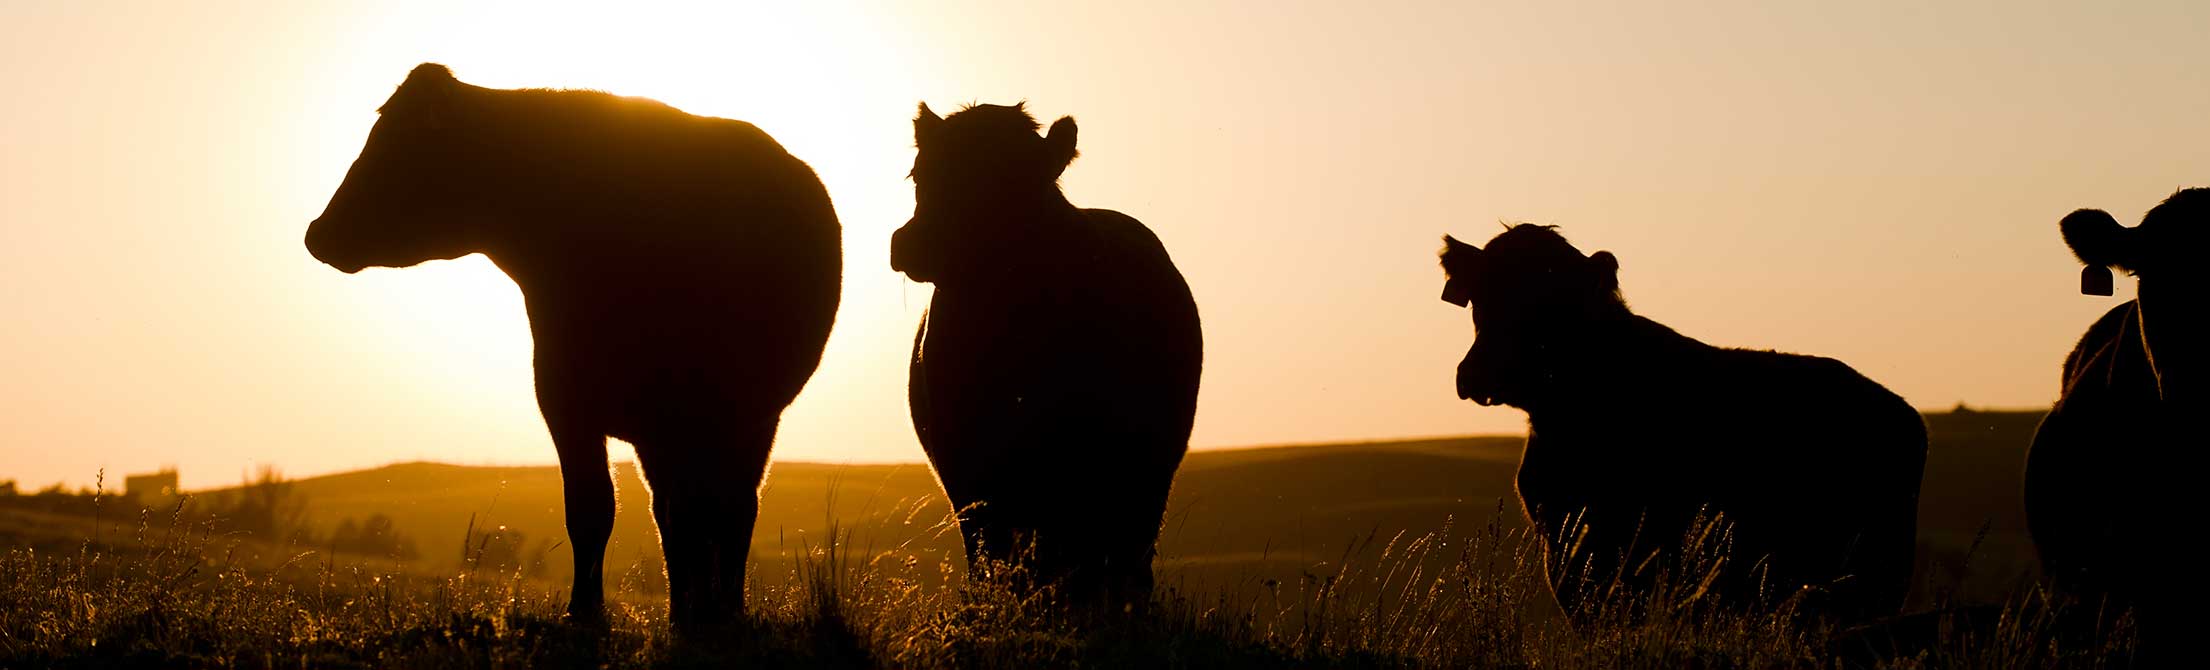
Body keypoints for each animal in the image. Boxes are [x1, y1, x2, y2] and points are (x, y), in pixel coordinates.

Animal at [302, 63, 835, 636]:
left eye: (398, 144)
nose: (318, 233)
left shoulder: (700, 408)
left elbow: (701, 513)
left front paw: (700, 616)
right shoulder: (564, 397)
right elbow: (592, 509)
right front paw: (588, 611)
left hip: (751, 418)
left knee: (732, 508)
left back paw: (722, 609)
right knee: (677, 512)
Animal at [884, 101, 1202, 614]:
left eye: (1011, 179)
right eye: (919, 172)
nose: (913, 242)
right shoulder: (964, 461)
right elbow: (987, 547)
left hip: (1147, 471)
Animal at [1440, 225, 1927, 627]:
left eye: (1549, 302)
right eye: (1480, 297)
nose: (1479, 373)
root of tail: (1902, 412)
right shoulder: (1566, 547)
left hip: (1875, 568)